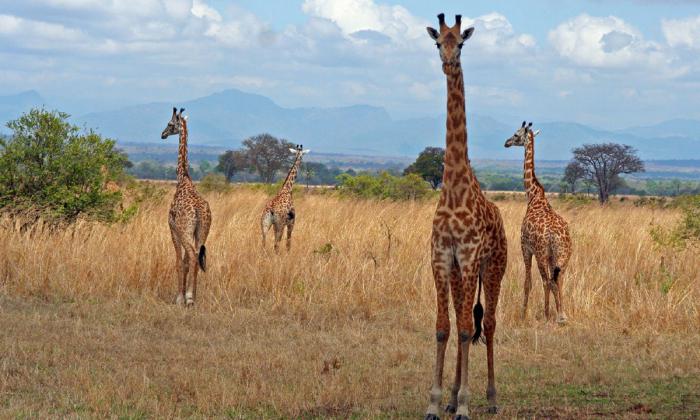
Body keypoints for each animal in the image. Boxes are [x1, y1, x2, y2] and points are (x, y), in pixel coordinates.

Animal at [161, 106, 212, 306]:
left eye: (169, 124)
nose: (162, 134)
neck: (183, 178)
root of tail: (198, 211)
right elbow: (184, 263)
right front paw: (185, 295)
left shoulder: (172, 228)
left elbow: (178, 262)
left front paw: (179, 297)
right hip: (203, 231)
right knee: (197, 256)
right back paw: (193, 296)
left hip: (185, 230)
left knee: (191, 255)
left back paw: (189, 297)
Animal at [506, 120, 572, 324]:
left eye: (516, 134)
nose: (506, 143)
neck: (533, 196)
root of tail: (556, 236)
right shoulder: (550, 257)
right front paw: (555, 311)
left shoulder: (525, 247)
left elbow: (527, 282)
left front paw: (523, 313)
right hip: (563, 256)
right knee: (558, 279)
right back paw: (562, 314)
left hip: (542, 253)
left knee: (547, 280)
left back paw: (550, 313)